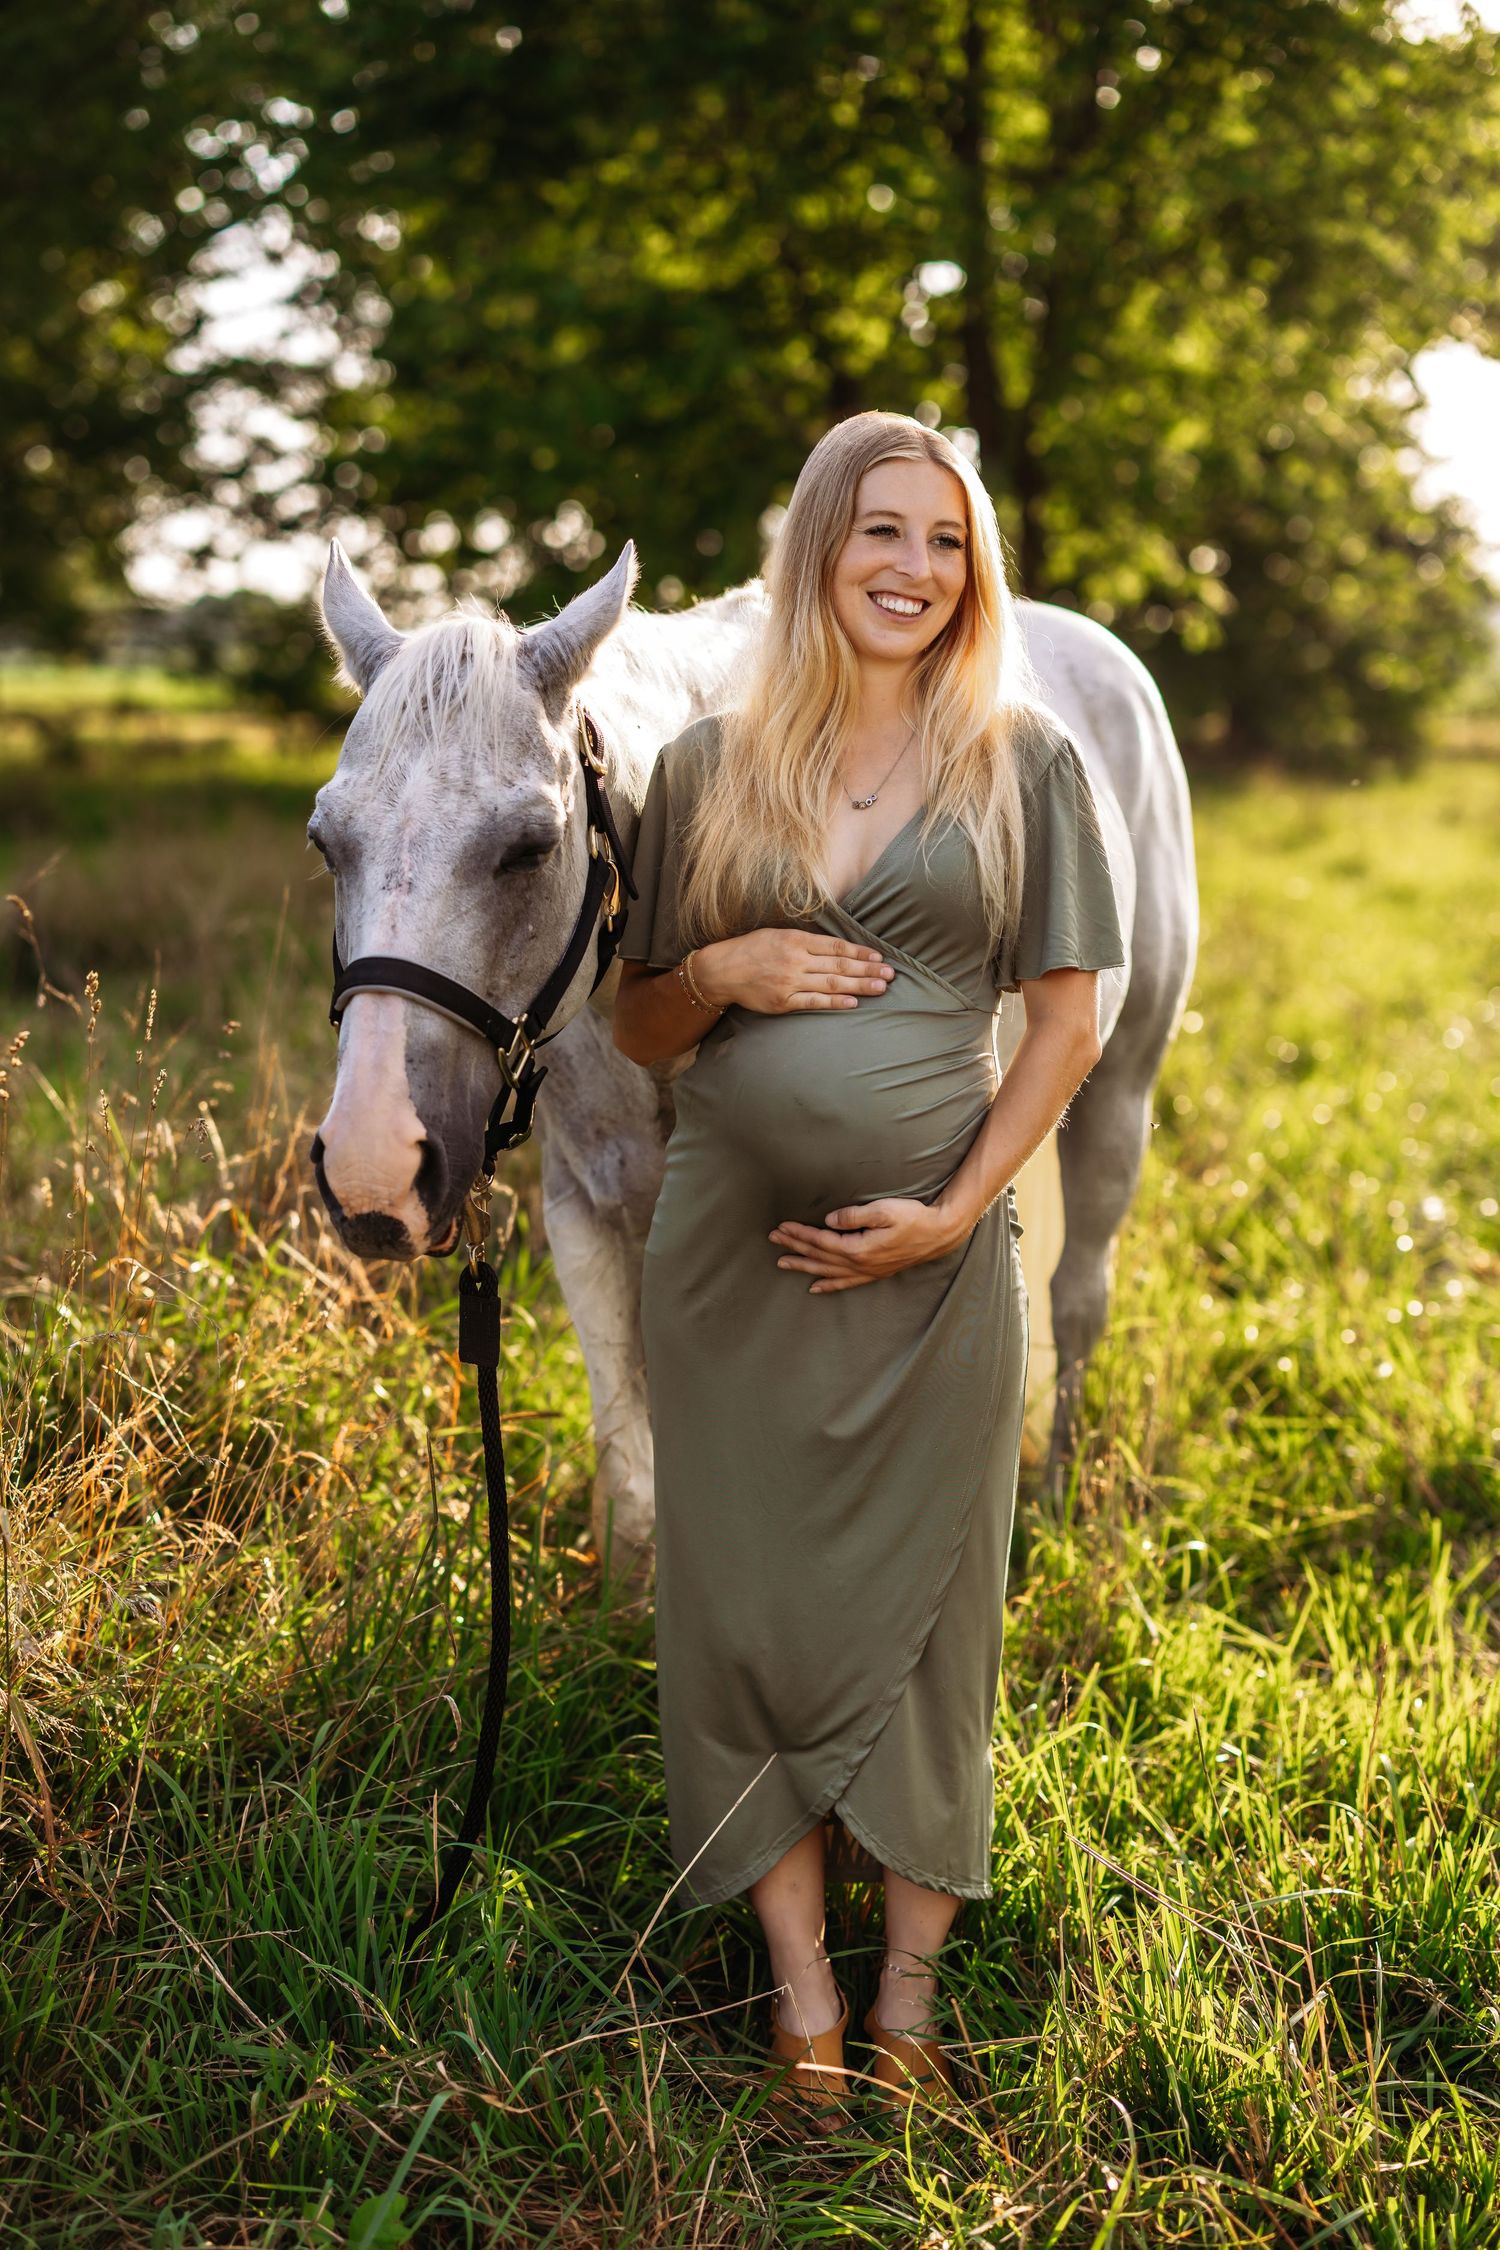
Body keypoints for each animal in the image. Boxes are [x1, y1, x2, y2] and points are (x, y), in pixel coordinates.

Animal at [308, 536, 1197, 1572]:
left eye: (529, 848)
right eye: (326, 843)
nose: (373, 1170)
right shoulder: (588, 1214)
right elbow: (633, 1463)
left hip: (1118, 1095)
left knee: (1077, 1296)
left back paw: (1053, 1496)